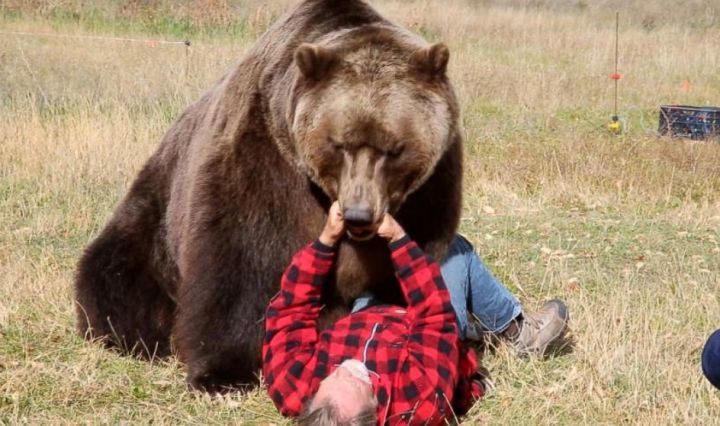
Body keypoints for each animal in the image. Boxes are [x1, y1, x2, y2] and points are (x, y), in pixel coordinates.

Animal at [74, 0, 463, 393]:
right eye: (339, 144)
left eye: (395, 149)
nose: (359, 215)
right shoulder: (263, 163)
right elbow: (241, 262)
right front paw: (223, 372)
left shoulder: (429, 195)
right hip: (155, 219)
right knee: (115, 275)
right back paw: (136, 336)